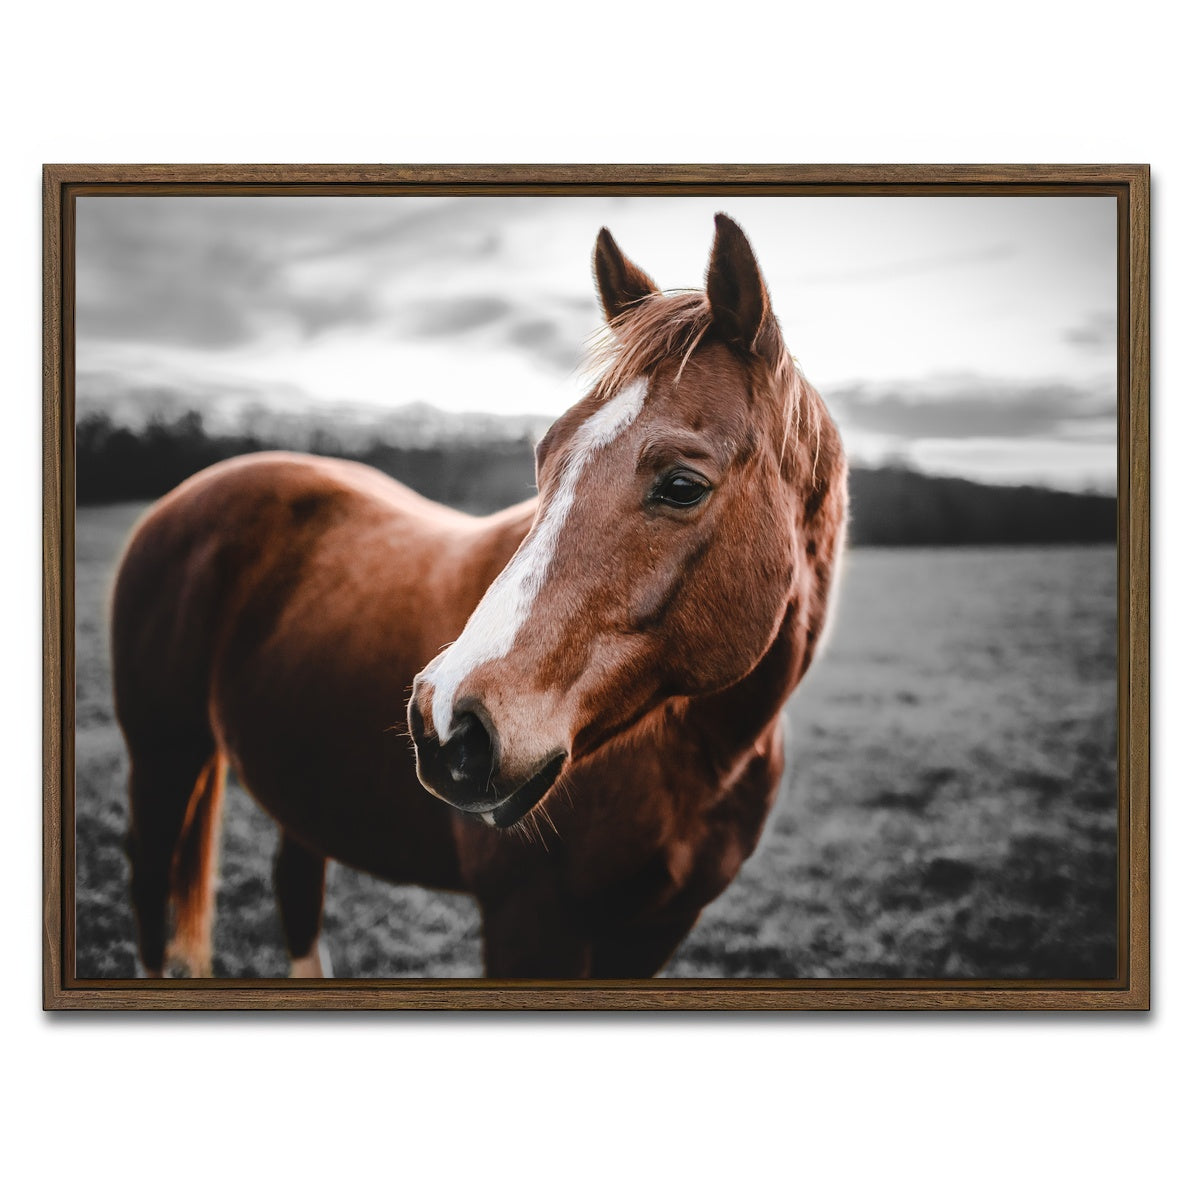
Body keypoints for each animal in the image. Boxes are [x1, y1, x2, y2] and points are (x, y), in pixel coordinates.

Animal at [111, 213, 847, 980]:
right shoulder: (530, 923)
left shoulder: (654, 932)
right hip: (162, 756)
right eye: (545, 456)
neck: (701, 758)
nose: (445, 724)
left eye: (682, 485)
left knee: (295, 884)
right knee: (151, 880)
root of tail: (183, 499)